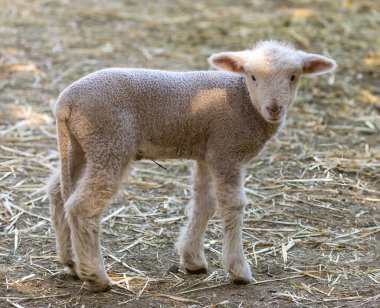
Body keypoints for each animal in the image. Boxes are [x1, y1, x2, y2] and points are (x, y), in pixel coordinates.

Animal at [46, 40, 336, 292]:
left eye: (293, 76)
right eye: (252, 76)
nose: (274, 109)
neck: (243, 100)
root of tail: (65, 103)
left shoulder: (208, 154)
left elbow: (204, 203)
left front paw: (193, 260)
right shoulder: (226, 151)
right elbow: (233, 205)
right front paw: (238, 270)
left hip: (81, 146)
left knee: (58, 192)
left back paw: (71, 261)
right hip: (110, 143)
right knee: (81, 206)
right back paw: (96, 277)